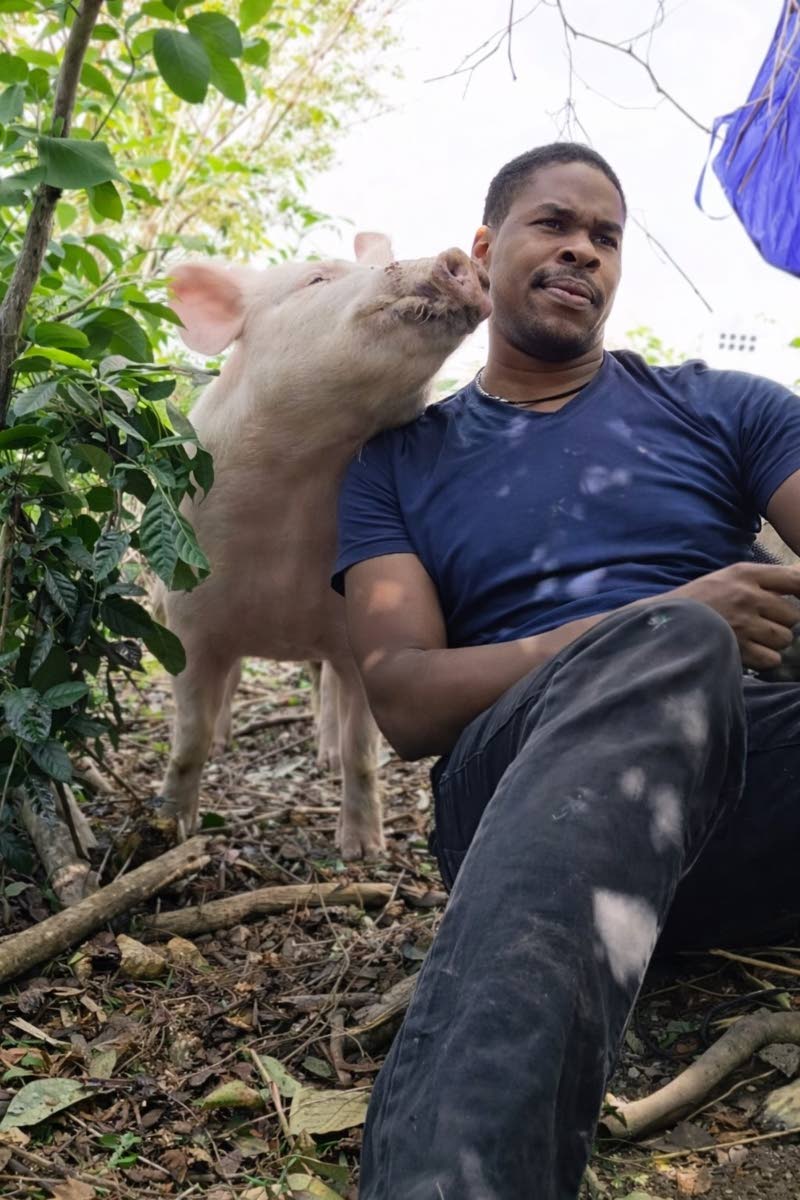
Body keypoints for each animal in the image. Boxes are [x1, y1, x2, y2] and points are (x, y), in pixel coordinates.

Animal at [154, 234, 490, 858]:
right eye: (316, 280)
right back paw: (227, 742)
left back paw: (325, 756)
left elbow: (364, 751)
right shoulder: (187, 620)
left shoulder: (356, 633)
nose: (458, 257)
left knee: (323, 689)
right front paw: (172, 832)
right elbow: (188, 738)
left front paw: (362, 850)